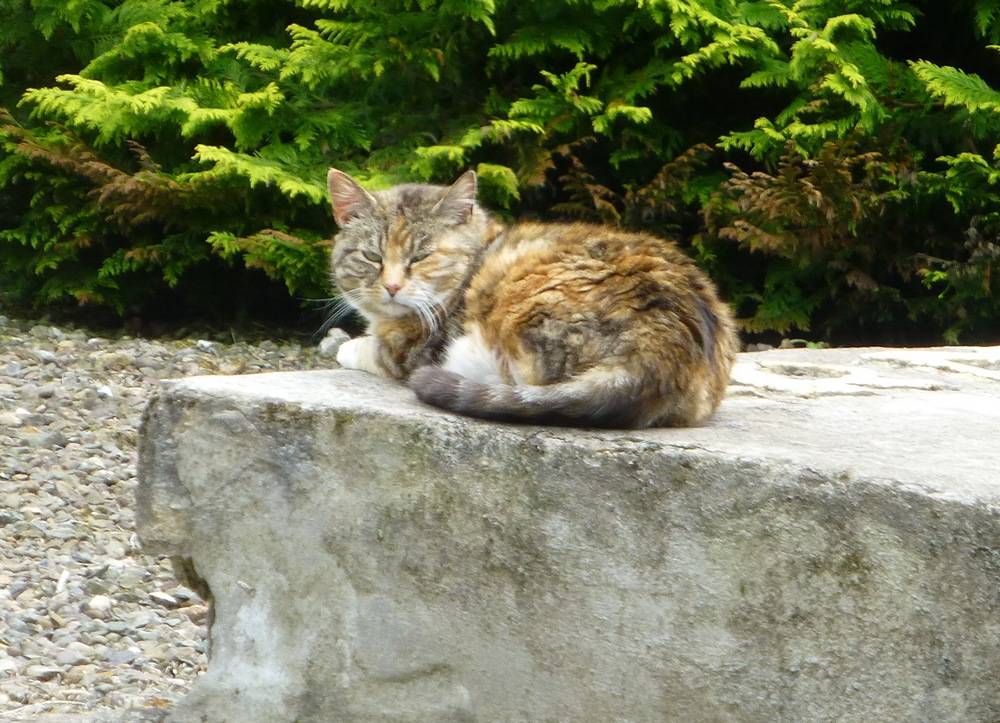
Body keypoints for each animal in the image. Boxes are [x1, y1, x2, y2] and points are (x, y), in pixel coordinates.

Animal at [326, 168, 736, 430]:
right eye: (372, 256)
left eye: (421, 256)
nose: (392, 286)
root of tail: (660, 354)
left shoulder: (408, 348)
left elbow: (371, 349)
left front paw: (345, 344)